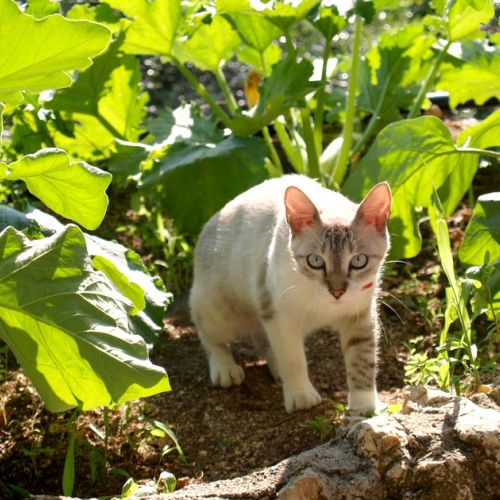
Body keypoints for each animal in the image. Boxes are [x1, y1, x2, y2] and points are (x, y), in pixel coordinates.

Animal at [189, 174, 392, 412]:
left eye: (359, 261)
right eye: (315, 261)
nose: (337, 291)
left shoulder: (360, 315)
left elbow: (362, 361)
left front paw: (365, 406)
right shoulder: (280, 315)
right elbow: (293, 359)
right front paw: (300, 395)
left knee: (261, 337)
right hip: (220, 307)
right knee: (208, 333)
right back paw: (225, 368)